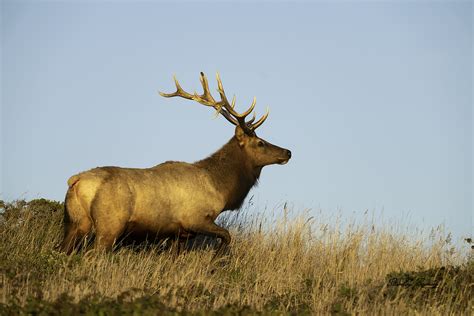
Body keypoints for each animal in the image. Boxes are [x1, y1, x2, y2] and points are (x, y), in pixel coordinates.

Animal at [60, 72, 290, 254]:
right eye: (260, 143)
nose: (288, 151)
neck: (221, 189)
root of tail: (76, 181)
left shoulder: (178, 234)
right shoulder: (195, 219)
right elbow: (227, 236)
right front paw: (217, 260)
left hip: (75, 223)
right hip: (109, 224)